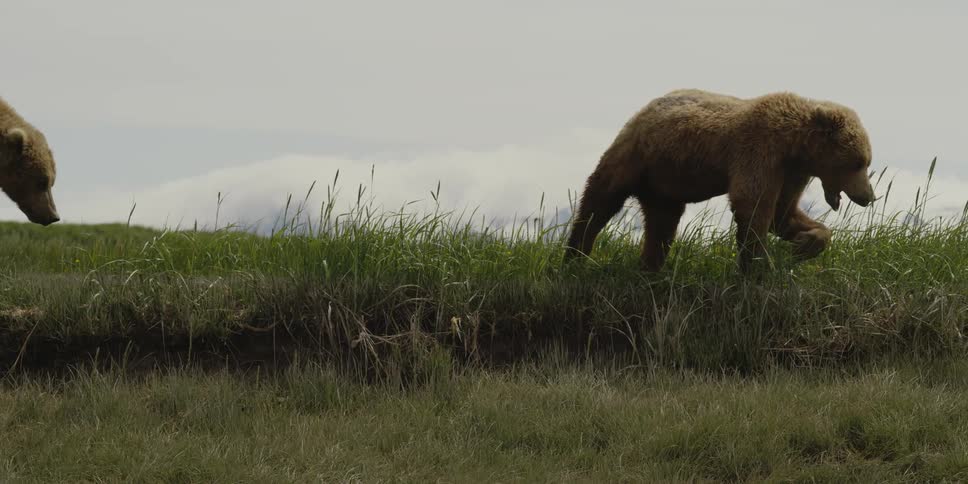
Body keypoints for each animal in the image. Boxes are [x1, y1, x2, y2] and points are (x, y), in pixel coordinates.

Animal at [563, 89, 875, 273]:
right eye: (858, 162)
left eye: (866, 161)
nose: (869, 196)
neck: (795, 147)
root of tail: (645, 108)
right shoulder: (760, 151)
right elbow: (752, 205)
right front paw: (758, 266)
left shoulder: (792, 173)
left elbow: (782, 212)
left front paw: (804, 242)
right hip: (635, 156)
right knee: (599, 200)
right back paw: (574, 257)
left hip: (665, 184)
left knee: (662, 225)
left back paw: (650, 269)